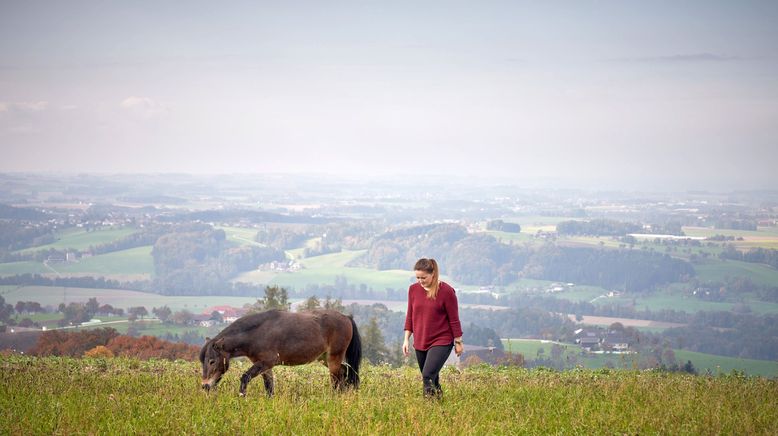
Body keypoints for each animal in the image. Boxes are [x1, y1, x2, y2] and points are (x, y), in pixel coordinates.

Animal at [199, 308, 360, 396]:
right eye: (202, 362)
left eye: (212, 361)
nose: (205, 386)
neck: (257, 333)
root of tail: (346, 317)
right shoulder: (265, 367)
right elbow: (269, 387)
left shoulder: (266, 362)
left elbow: (245, 377)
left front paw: (241, 396)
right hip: (325, 358)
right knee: (344, 372)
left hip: (333, 358)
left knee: (336, 380)